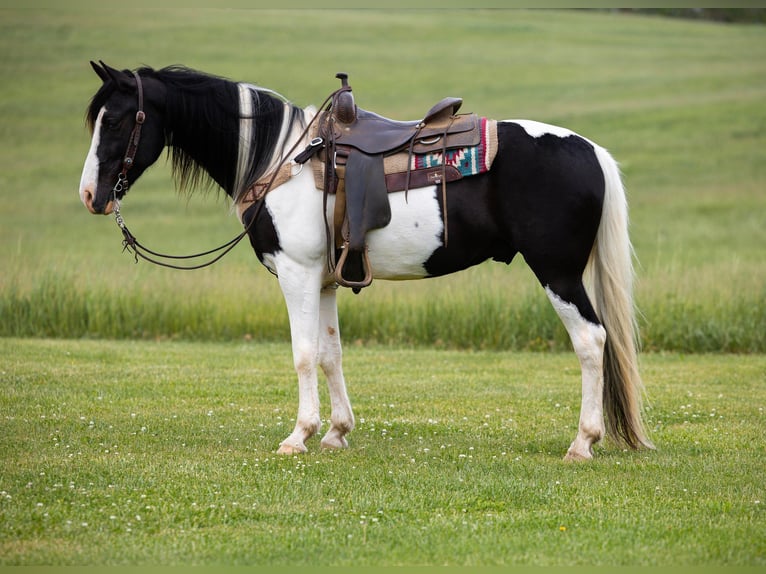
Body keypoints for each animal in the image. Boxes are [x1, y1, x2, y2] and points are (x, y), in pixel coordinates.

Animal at [78, 62, 656, 464]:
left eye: (120, 120)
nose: (90, 195)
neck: (281, 159)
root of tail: (592, 150)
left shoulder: (297, 273)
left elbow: (303, 355)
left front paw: (298, 436)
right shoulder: (325, 280)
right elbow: (331, 354)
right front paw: (336, 432)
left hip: (557, 272)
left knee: (592, 341)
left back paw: (582, 443)